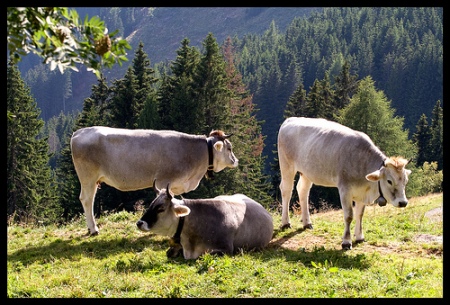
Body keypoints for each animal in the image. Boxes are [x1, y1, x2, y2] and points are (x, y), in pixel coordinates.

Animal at [278, 116, 412, 249]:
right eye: (389, 181)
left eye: (405, 181)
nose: (403, 202)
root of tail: (291, 119)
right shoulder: (345, 190)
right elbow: (349, 216)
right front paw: (346, 242)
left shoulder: (362, 192)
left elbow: (360, 214)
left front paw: (359, 237)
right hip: (287, 165)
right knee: (286, 191)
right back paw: (285, 223)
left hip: (307, 172)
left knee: (303, 190)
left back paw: (307, 223)